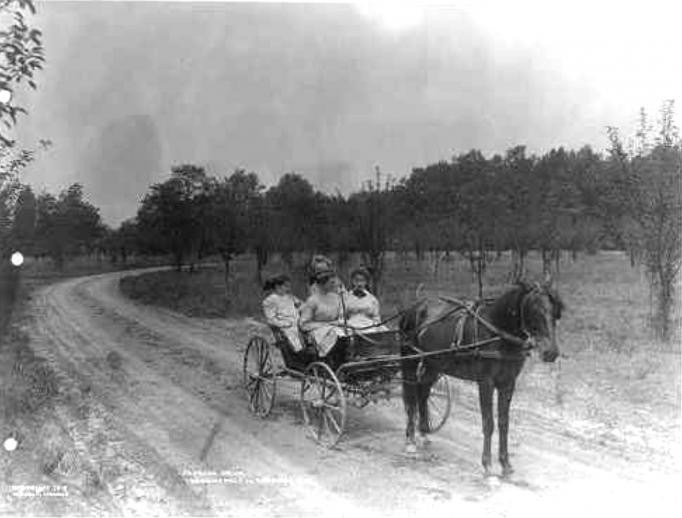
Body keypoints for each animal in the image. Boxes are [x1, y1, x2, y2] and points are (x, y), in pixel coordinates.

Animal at [396, 278, 560, 478]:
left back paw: (424, 433)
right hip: (410, 360)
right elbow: (488, 423)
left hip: (434, 364)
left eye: (554, 310)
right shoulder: (486, 383)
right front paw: (487, 464)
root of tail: (414, 307)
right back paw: (411, 441)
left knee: (423, 392)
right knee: (411, 397)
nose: (551, 352)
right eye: (534, 309)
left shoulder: (508, 383)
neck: (497, 333)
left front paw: (505, 463)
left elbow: (504, 423)